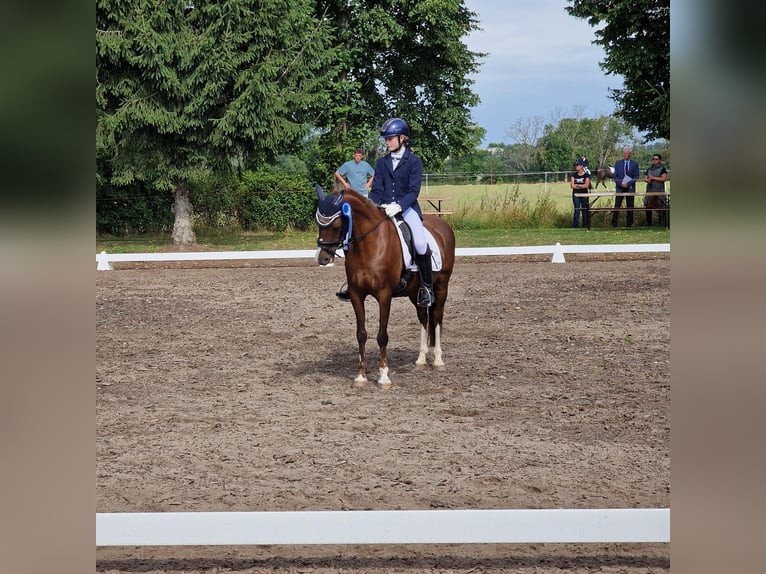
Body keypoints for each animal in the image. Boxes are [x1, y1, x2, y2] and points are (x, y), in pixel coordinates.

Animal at [314, 187, 456, 390]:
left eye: (336, 225)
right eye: (318, 224)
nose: (323, 258)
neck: (368, 245)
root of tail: (442, 224)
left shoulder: (384, 296)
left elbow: (382, 336)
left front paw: (383, 377)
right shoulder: (356, 295)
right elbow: (361, 334)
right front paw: (361, 376)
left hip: (442, 284)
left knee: (436, 317)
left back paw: (437, 360)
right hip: (415, 293)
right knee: (423, 318)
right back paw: (421, 359)